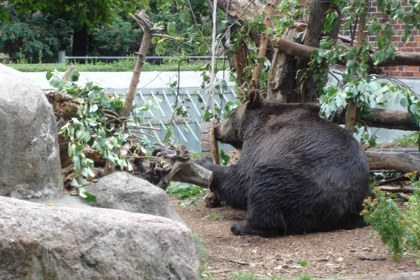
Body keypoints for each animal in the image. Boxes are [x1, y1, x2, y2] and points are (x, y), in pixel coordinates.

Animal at [199, 91, 370, 236]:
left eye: (231, 114)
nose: (216, 127)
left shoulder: (263, 141)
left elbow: (241, 177)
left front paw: (204, 163)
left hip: (300, 182)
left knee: (266, 183)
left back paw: (242, 226)